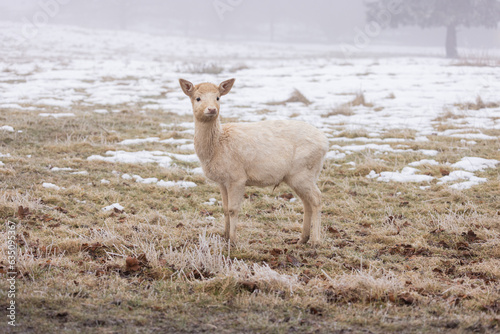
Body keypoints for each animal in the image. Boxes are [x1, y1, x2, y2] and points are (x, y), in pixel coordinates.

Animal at [179, 78, 328, 245]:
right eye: (197, 98)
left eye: (218, 97)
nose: (211, 109)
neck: (217, 147)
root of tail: (325, 142)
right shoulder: (222, 181)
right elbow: (224, 208)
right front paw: (225, 236)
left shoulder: (237, 177)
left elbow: (233, 209)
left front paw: (233, 241)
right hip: (298, 176)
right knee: (306, 202)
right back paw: (302, 238)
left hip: (304, 171)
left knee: (317, 199)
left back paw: (315, 240)